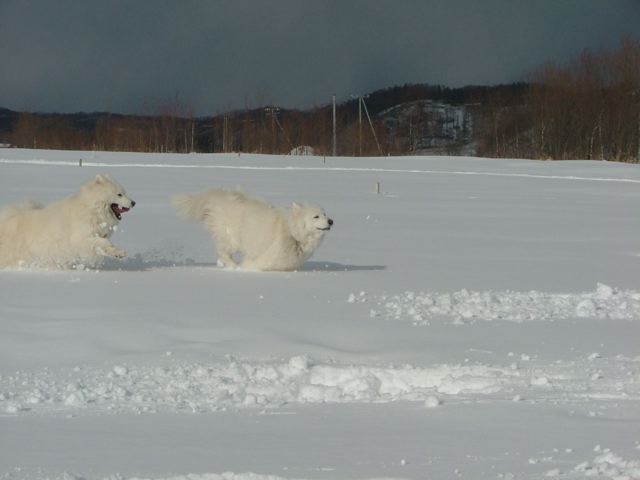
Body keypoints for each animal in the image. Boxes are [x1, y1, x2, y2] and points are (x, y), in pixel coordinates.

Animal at [0, 173, 135, 270]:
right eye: (119, 194)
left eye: (124, 193)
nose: (134, 202)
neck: (92, 209)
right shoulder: (81, 238)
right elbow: (104, 242)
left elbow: (106, 245)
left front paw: (118, 253)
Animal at [174, 188, 336, 272]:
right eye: (316, 216)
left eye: (325, 214)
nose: (331, 221)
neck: (293, 233)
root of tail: (219, 197)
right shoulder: (264, 257)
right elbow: (252, 264)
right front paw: (243, 268)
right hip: (231, 238)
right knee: (223, 252)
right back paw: (234, 267)